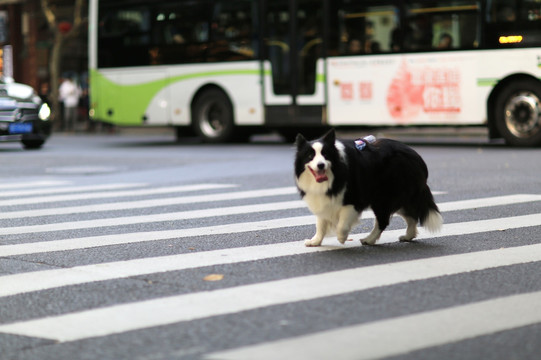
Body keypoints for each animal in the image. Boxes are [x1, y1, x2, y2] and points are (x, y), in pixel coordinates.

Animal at [296, 130, 442, 248]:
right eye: (310, 156)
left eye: (325, 155)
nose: (320, 165)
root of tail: (417, 158)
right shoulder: (323, 199)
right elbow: (320, 223)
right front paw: (315, 241)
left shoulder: (353, 198)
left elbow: (341, 224)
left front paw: (342, 237)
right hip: (398, 198)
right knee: (411, 216)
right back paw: (408, 236)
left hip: (384, 197)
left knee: (384, 220)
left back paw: (369, 240)